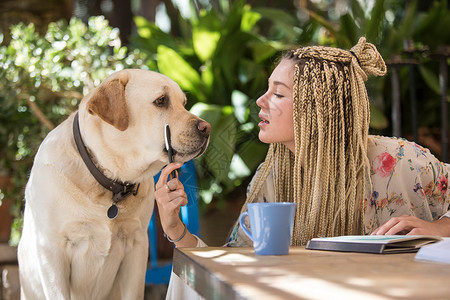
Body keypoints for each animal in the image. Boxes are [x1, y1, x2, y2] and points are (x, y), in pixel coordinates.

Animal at [15, 69, 209, 298]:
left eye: (184, 103)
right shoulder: (51, 251)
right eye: (161, 101)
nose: (207, 127)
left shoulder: (137, 246)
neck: (109, 184)